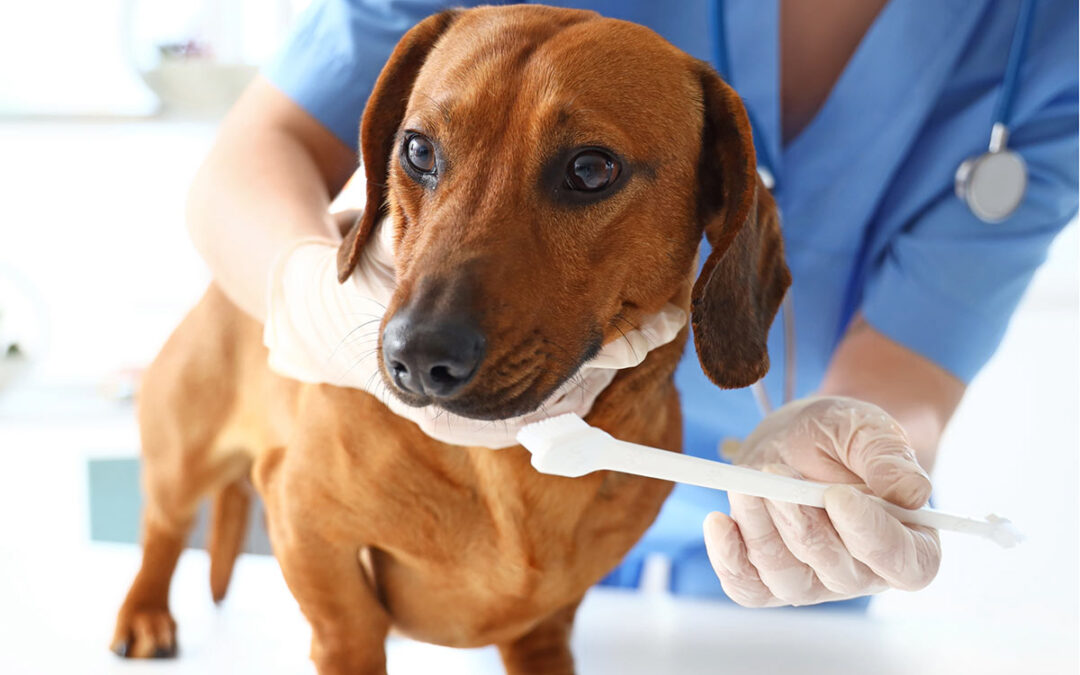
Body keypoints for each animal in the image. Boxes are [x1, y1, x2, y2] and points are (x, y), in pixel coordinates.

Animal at [111, 6, 794, 673]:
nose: (415, 356)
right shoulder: (304, 522)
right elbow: (348, 629)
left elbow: (542, 638)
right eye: (417, 149)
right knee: (162, 529)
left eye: (592, 169)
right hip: (180, 460)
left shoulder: (551, 614)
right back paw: (144, 614)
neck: (506, 459)